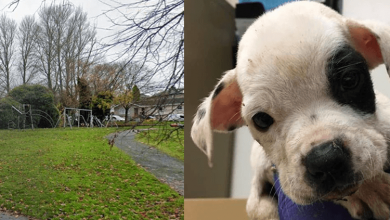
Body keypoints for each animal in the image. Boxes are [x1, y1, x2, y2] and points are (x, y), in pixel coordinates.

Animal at [192, 0, 390, 219]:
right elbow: (258, 207)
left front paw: (371, 187)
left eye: (350, 80)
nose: (325, 159)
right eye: (261, 120)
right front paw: (370, 190)